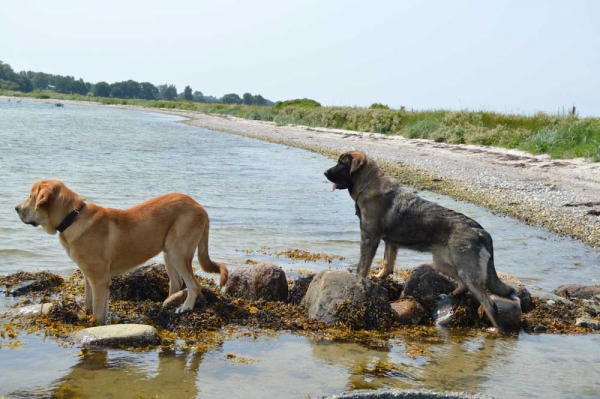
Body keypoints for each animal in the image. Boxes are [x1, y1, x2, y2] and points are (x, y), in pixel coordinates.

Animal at [16, 181, 229, 324]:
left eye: (31, 196)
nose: (16, 208)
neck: (72, 217)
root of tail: (200, 207)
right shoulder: (88, 276)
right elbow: (88, 301)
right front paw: (84, 316)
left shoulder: (100, 279)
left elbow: (98, 312)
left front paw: (95, 327)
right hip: (168, 252)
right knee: (176, 283)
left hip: (178, 252)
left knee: (194, 285)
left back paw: (184, 308)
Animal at [326, 151, 516, 332]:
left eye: (341, 164)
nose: (325, 172)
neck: (368, 183)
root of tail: (479, 229)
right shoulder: (390, 243)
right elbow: (387, 264)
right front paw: (379, 277)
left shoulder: (369, 238)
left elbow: (362, 266)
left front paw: (358, 280)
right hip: (444, 263)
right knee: (463, 285)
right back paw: (450, 295)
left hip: (466, 271)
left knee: (489, 304)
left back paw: (496, 329)